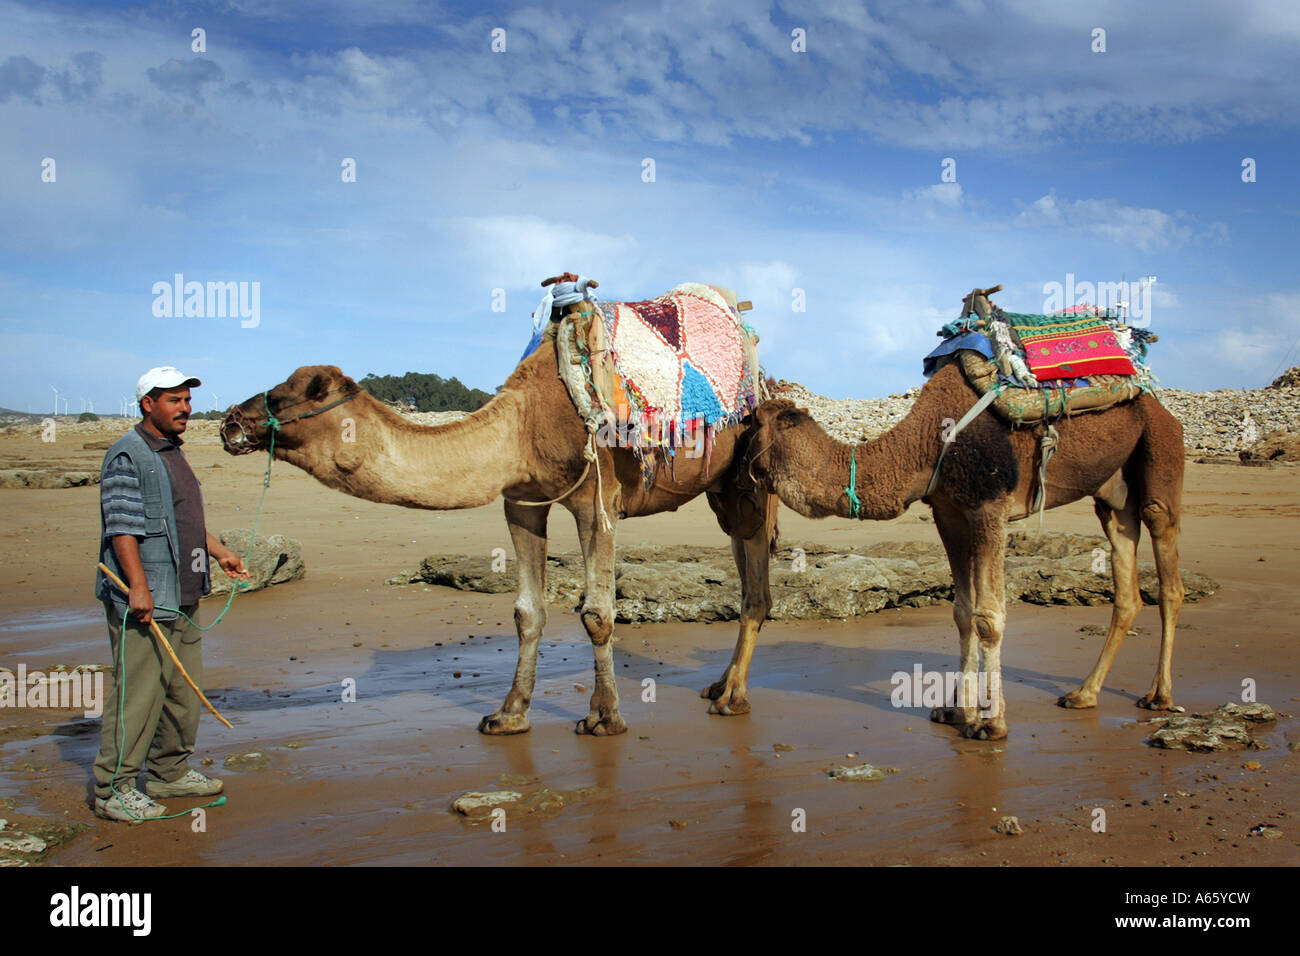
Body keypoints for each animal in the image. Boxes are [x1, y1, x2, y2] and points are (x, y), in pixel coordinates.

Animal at [218, 343, 774, 733]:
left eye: (286, 394)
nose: (230, 422)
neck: (520, 429)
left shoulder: (597, 499)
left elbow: (596, 614)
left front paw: (603, 716)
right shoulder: (521, 502)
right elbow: (527, 613)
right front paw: (508, 715)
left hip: (750, 483)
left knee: (755, 593)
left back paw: (734, 698)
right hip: (721, 491)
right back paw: (719, 686)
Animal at [738, 330, 1185, 738]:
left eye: (751, 424)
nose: (735, 461)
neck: (926, 442)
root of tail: (1157, 403)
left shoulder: (990, 506)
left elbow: (989, 616)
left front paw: (991, 723)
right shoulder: (949, 512)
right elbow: (962, 612)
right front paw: (957, 710)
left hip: (1160, 450)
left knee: (1167, 566)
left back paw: (1160, 695)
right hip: (1112, 493)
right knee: (1126, 585)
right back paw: (1084, 694)